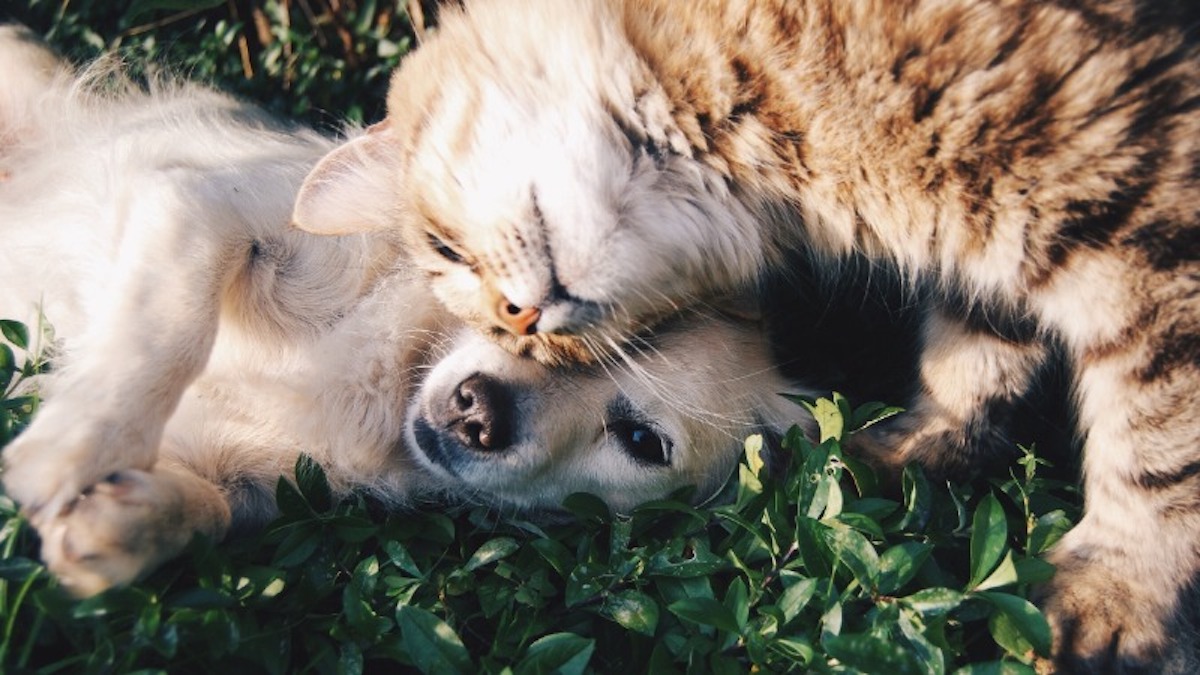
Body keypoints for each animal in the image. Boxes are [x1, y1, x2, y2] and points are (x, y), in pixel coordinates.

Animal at [0, 26, 816, 593]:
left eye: (643, 441)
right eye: (517, 310)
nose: (476, 411)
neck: (389, 381)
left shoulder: (254, 479)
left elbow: (212, 510)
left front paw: (122, 525)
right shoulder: (200, 205)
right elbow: (169, 331)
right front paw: (72, 447)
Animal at [290, 0, 1200, 667]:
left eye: (444, 251)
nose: (522, 323)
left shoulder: (1146, 222)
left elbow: (1158, 443)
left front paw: (1116, 592)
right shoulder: (991, 253)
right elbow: (973, 355)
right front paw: (914, 447)